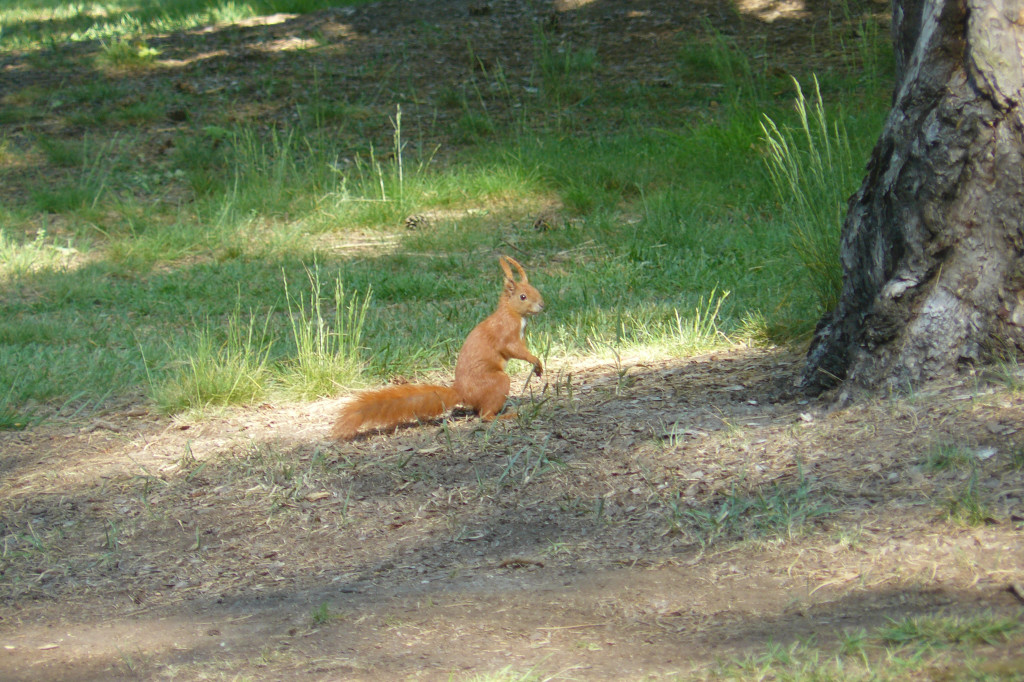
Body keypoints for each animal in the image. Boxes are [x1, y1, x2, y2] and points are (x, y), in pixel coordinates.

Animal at [333, 251, 544, 438]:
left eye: (536, 290)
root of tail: (462, 392)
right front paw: (536, 361)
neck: (512, 313)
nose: (542, 305)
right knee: (484, 415)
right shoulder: (505, 333)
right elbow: (512, 349)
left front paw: (538, 368)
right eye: (523, 296)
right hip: (498, 382)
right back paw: (505, 415)